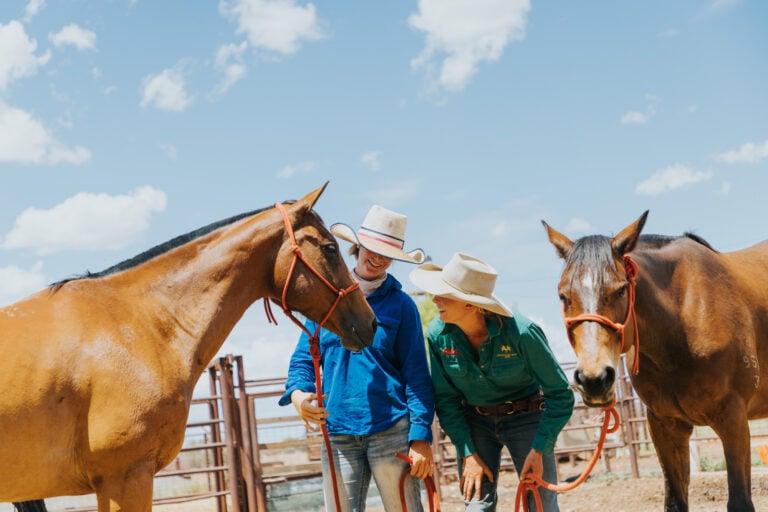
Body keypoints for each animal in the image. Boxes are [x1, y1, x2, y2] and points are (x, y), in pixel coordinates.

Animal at [542, 211, 768, 512]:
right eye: (563, 295)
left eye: (621, 290)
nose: (594, 380)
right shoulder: (665, 426)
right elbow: (675, 501)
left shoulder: (734, 419)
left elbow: (740, 501)